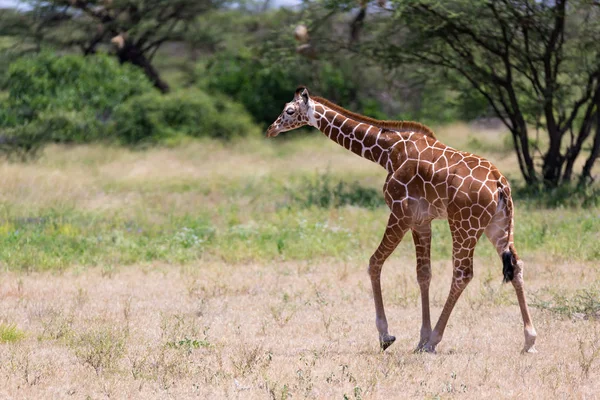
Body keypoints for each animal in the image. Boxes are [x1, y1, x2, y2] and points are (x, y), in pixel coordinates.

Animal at [268, 86, 540, 354]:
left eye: (289, 110)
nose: (272, 128)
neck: (386, 152)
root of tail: (499, 182)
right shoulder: (421, 221)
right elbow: (423, 274)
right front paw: (419, 338)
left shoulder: (401, 213)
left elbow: (374, 263)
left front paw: (386, 336)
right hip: (498, 225)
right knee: (516, 265)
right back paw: (529, 340)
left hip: (464, 224)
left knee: (462, 274)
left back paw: (435, 341)